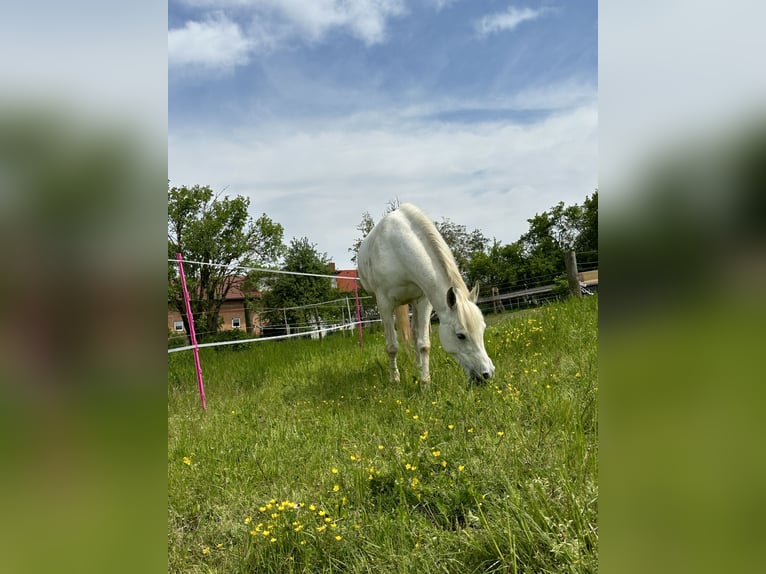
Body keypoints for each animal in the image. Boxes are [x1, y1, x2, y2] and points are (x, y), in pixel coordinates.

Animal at [356, 205, 496, 384]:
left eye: (483, 329)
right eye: (460, 336)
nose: (487, 374)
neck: (397, 250)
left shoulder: (423, 300)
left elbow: (423, 344)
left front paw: (425, 382)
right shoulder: (384, 303)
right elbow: (392, 346)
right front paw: (395, 380)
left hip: (414, 303)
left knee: (415, 334)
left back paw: (417, 366)